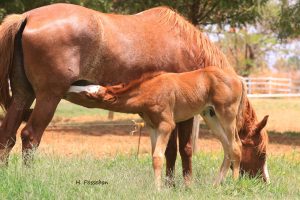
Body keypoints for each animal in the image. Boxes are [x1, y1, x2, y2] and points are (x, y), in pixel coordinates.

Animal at [67, 66, 268, 188]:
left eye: (88, 95)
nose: (68, 87)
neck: (149, 91)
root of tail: (239, 79)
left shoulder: (166, 125)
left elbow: (158, 156)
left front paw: (157, 190)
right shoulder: (152, 127)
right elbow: (155, 155)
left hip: (227, 115)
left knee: (236, 146)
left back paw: (233, 184)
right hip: (210, 116)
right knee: (227, 147)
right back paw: (216, 185)